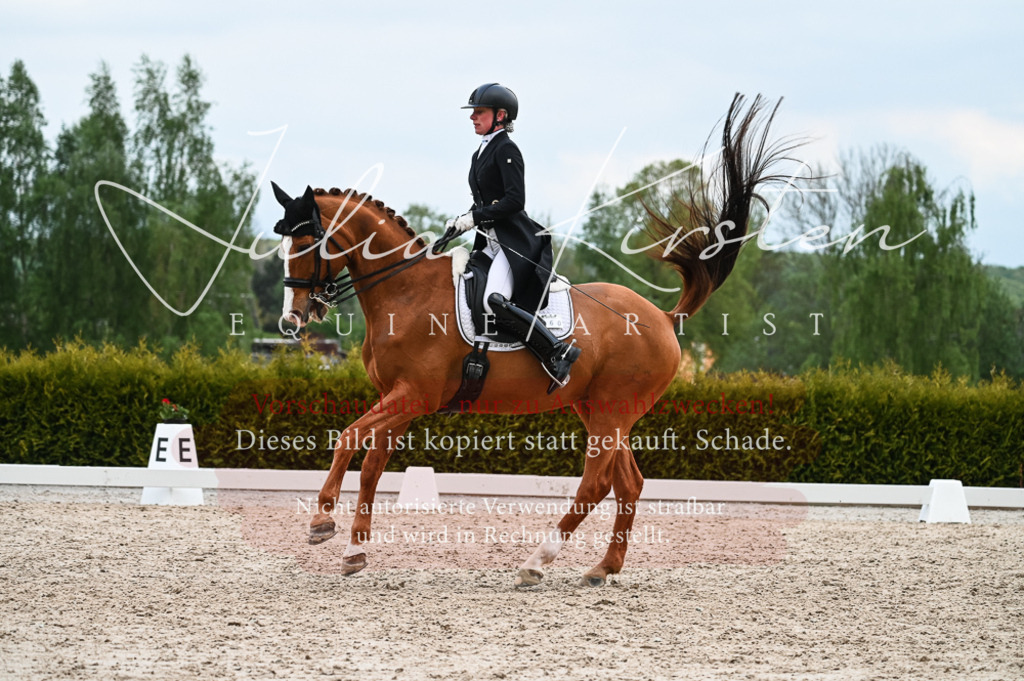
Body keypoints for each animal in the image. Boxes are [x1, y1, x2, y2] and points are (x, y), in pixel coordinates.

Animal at [271, 94, 799, 586]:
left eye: (306, 244)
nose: (292, 319)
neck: (405, 291)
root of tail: (665, 319)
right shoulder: (397, 399)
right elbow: (372, 466)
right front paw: (354, 551)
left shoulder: (413, 396)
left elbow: (347, 439)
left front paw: (321, 522)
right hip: (600, 408)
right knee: (628, 483)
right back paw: (602, 567)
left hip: (612, 410)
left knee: (595, 484)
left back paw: (537, 562)